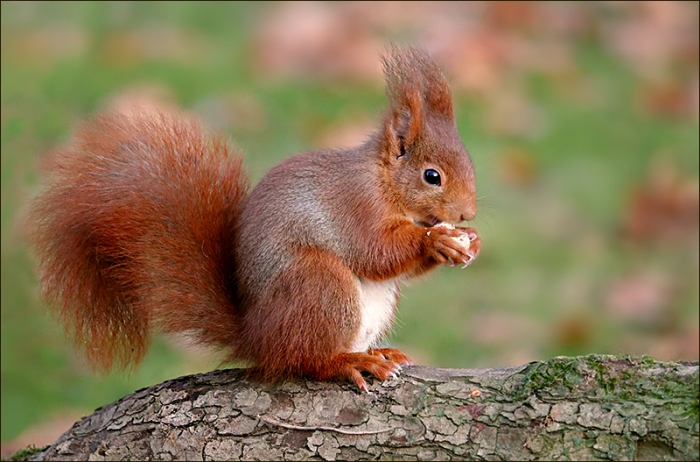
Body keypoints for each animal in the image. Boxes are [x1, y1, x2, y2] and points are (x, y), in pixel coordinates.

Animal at [27, 46, 481, 391]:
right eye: (432, 176)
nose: (467, 213)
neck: (385, 182)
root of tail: (256, 337)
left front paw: (469, 241)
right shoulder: (355, 207)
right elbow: (375, 252)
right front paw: (436, 241)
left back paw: (375, 352)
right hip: (318, 283)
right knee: (304, 360)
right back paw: (348, 362)